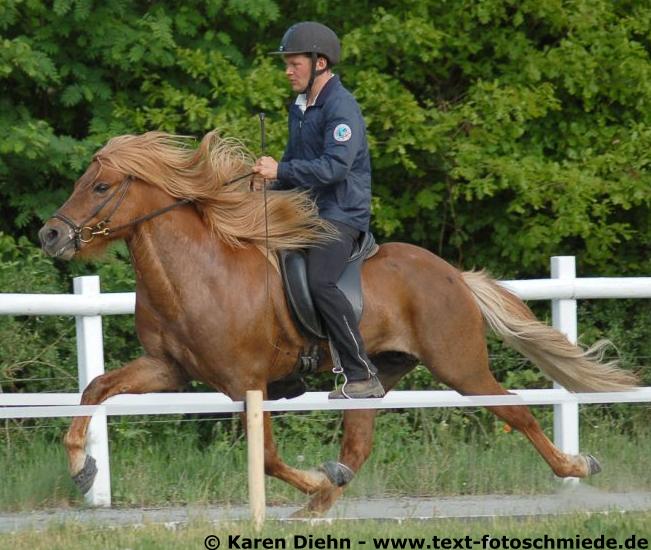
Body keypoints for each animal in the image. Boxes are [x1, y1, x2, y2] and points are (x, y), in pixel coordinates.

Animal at [38, 130, 640, 516]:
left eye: (99, 186)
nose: (51, 235)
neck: (195, 272)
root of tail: (451, 273)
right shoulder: (169, 370)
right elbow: (96, 388)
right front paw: (82, 469)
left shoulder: (246, 384)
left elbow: (268, 457)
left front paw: (310, 478)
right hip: (374, 374)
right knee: (359, 445)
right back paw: (317, 505)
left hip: (460, 365)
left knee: (516, 411)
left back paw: (578, 466)